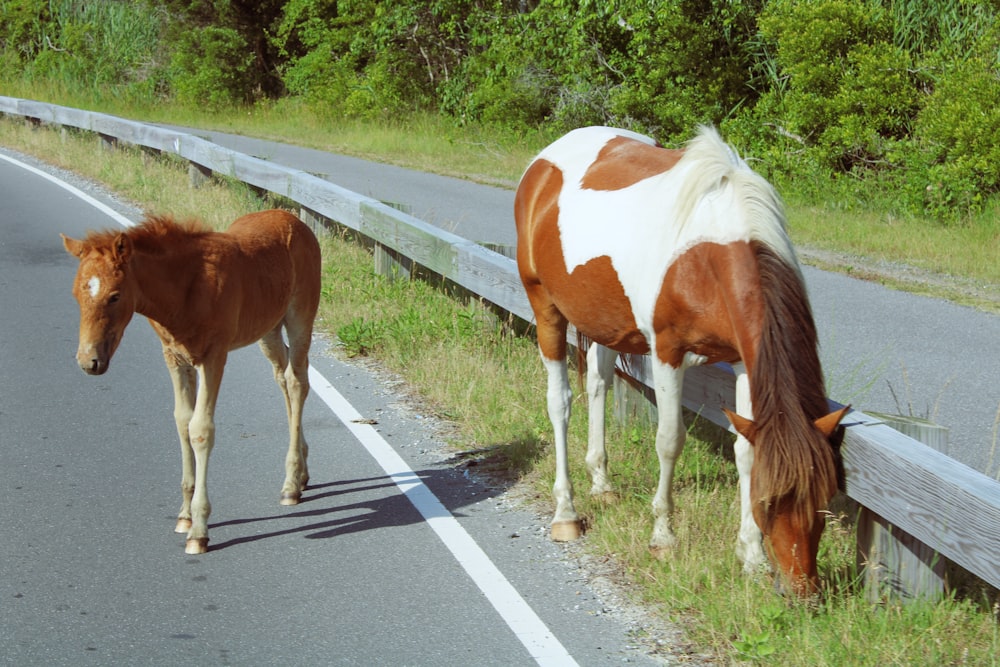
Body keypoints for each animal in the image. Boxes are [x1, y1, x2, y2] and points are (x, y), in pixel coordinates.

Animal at [61, 211, 320, 556]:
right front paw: (184, 516)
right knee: (284, 375)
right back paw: (302, 473)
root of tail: (293, 218)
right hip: (267, 328)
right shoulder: (175, 358)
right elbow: (182, 421)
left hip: (300, 316)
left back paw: (291, 484)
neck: (186, 289)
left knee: (296, 380)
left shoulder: (214, 357)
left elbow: (201, 430)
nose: (88, 361)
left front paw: (199, 530)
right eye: (75, 295)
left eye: (114, 296)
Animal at [516, 128, 852, 596]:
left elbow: (745, 450)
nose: (801, 589)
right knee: (559, 403)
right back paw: (566, 512)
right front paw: (663, 537)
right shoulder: (666, 353)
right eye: (770, 502)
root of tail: (542, 162)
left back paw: (602, 484)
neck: (712, 249)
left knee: (598, 383)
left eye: (823, 498)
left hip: (604, 322)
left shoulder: (744, 361)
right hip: (545, 307)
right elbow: (670, 440)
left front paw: (751, 557)